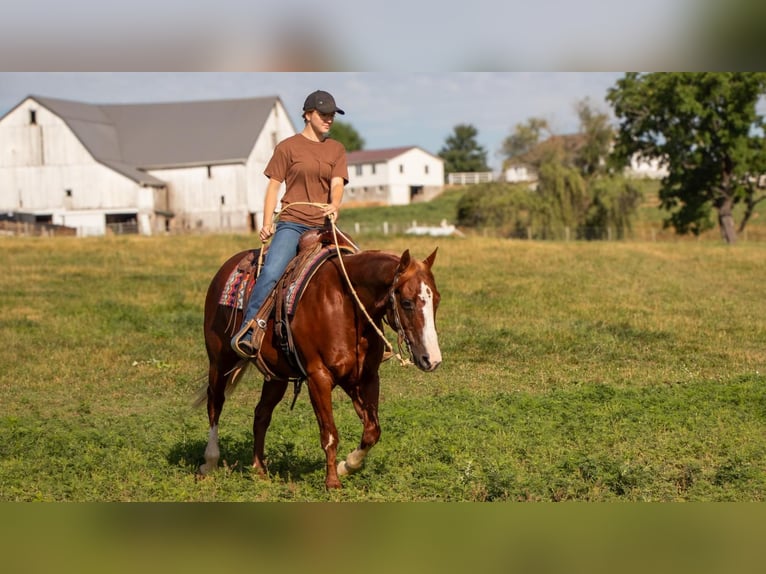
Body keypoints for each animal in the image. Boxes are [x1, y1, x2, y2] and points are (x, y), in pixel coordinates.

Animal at [198, 233, 444, 490]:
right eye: (406, 302)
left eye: (436, 300)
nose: (432, 359)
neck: (345, 305)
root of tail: (226, 268)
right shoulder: (319, 377)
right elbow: (330, 433)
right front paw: (332, 482)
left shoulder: (365, 377)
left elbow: (372, 430)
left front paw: (347, 466)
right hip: (220, 361)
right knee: (215, 403)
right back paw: (210, 462)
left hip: (276, 376)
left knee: (261, 414)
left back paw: (260, 469)